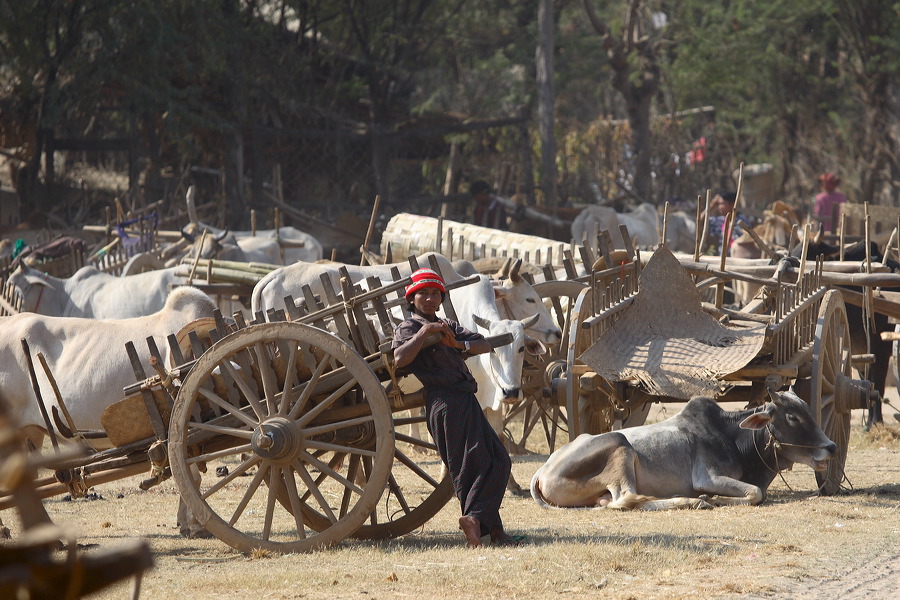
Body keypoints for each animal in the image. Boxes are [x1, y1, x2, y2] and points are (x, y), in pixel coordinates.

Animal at [530, 390, 836, 510]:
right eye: (793, 417)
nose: (831, 447)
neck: (732, 436)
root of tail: (542, 472)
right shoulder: (707, 477)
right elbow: (755, 493)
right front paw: (715, 498)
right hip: (619, 446)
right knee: (626, 499)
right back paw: (693, 501)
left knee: (613, 502)